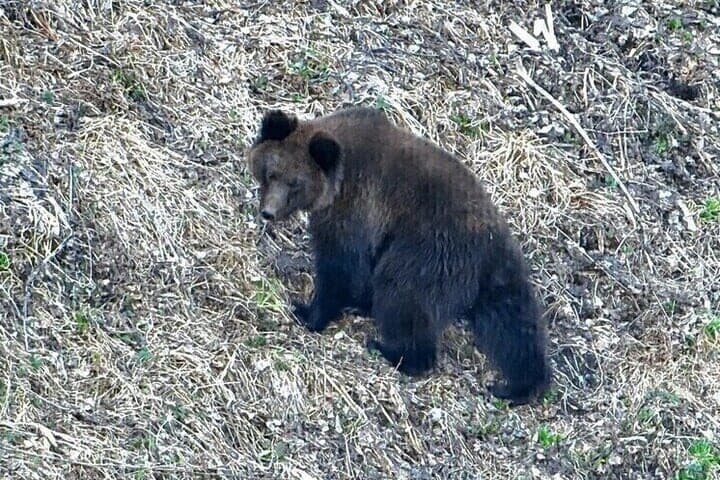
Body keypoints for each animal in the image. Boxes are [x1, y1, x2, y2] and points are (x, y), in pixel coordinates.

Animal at [247, 107, 551, 404]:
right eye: (272, 172)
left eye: (295, 183)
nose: (268, 212)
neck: (336, 182)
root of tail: (487, 245)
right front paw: (355, 303)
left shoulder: (355, 208)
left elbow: (340, 266)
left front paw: (308, 311)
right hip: (500, 274)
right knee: (514, 325)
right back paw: (520, 385)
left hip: (427, 253)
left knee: (403, 295)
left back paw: (393, 351)